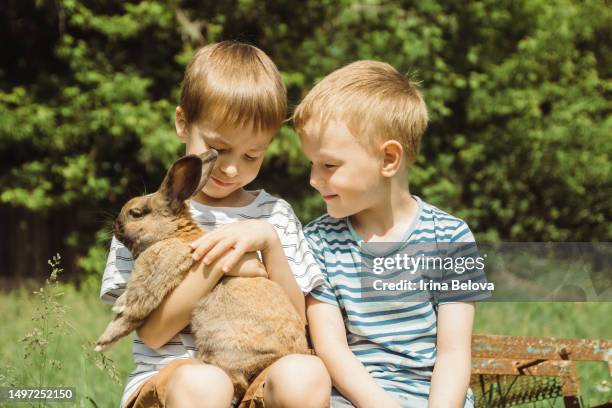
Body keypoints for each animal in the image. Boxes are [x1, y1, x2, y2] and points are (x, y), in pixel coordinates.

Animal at [95, 151, 308, 404]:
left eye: (136, 213)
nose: (115, 226)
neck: (172, 235)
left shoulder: (155, 275)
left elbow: (133, 310)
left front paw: (103, 341)